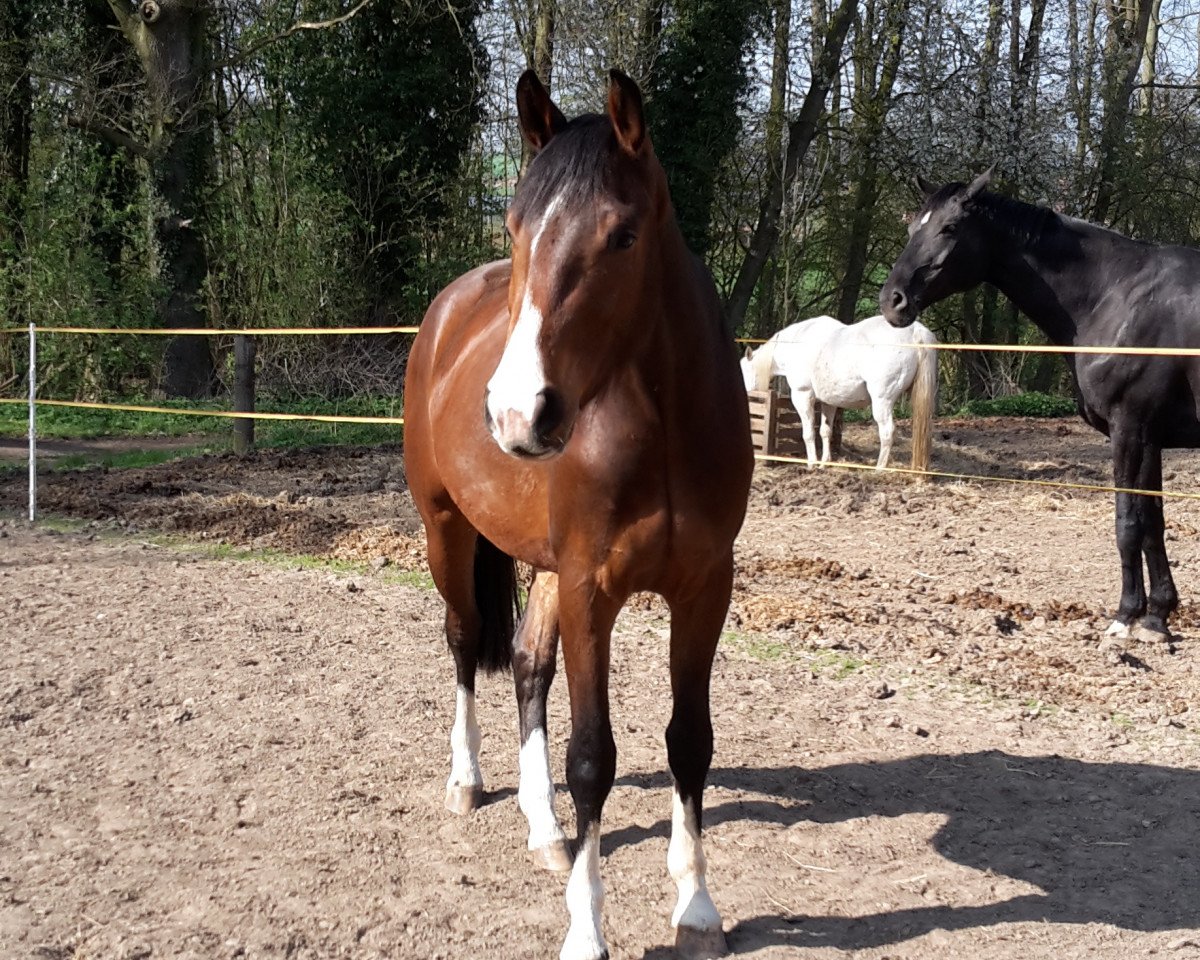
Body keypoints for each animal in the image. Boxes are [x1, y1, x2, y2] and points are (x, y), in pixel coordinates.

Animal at [403, 70, 753, 960]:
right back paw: (468, 781)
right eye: (517, 223)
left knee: (529, 665)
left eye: (622, 236)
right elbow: (593, 756)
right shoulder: (594, 589)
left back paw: (544, 826)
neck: (660, 429)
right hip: (447, 530)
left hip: (550, 567)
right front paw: (587, 931)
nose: (517, 411)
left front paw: (697, 907)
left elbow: (689, 740)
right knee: (464, 641)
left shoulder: (703, 588)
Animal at [740, 314, 938, 471]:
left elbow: (808, 433)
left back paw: (879, 469)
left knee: (887, 432)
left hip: (882, 401)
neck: (797, 343)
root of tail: (915, 331)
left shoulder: (802, 395)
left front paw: (811, 464)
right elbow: (825, 432)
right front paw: (823, 463)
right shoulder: (829, 403)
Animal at [880, 167, 1200, 642]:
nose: (893, 301)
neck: (1118, 295)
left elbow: (1128, 523)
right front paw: (1157, 617)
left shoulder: (1130, 429)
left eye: (949, 227)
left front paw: (1126, 616)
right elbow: (1152, 523)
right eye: (909, 228)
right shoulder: (1151, 438)